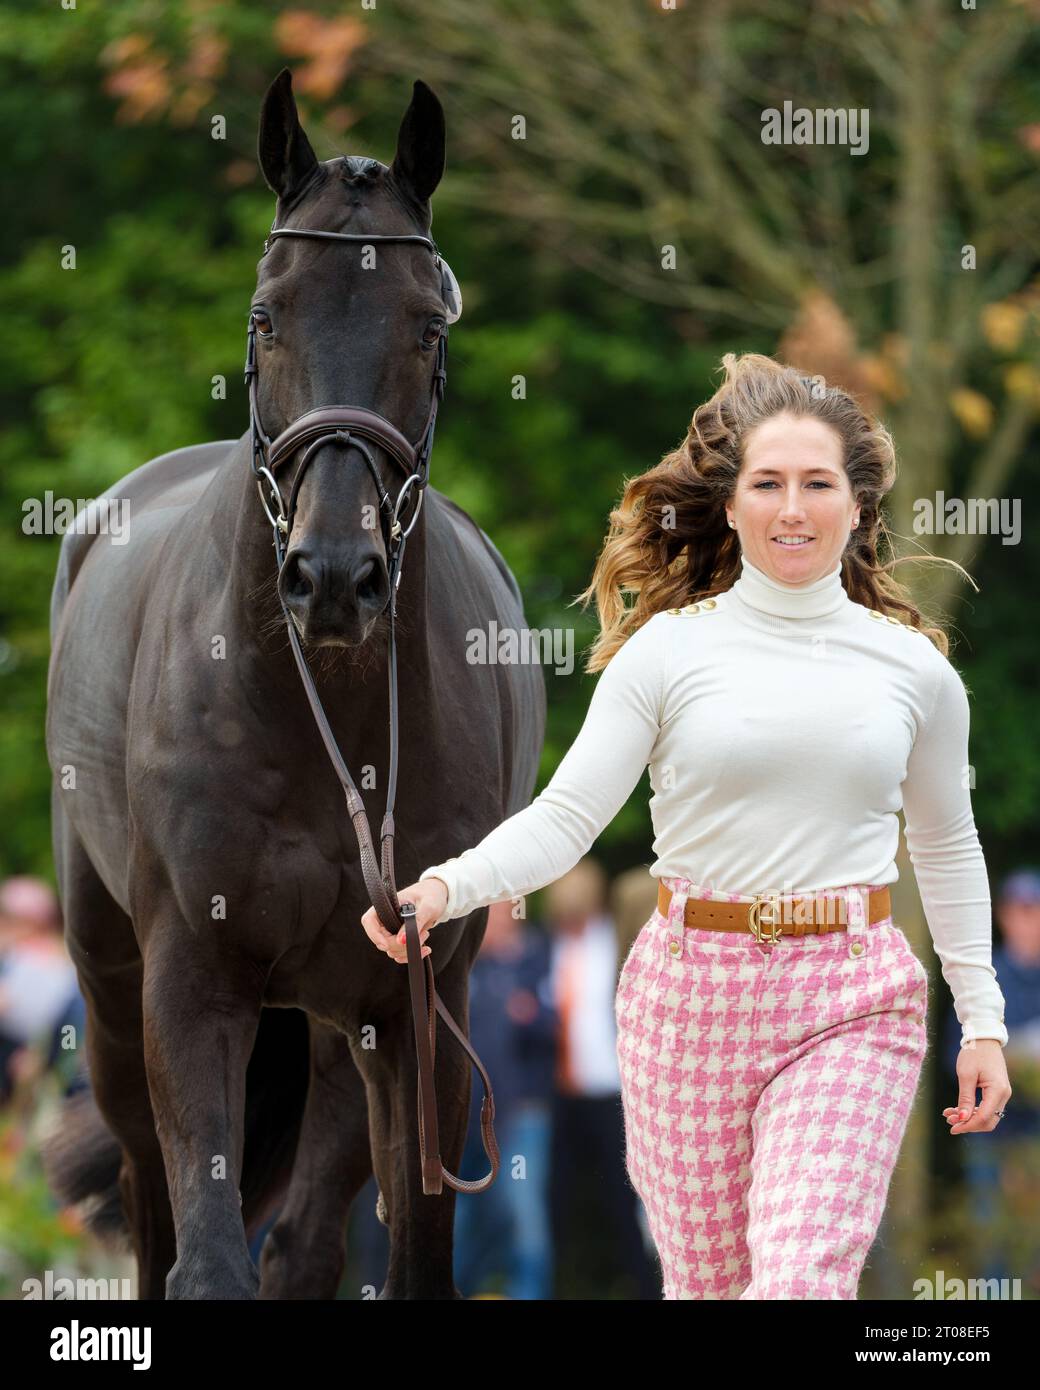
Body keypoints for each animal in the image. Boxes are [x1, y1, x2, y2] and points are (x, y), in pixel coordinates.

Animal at [42, 70, 545, 1295]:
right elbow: (204, 1261)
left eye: (427, 324)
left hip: (336, 1030)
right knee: (155, 1198)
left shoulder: (418, 1007)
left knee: (308, 1240)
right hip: (111, 1000)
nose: (331, 576)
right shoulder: (192, 984)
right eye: (266, 317)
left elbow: (407, 1257)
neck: (328, 725)